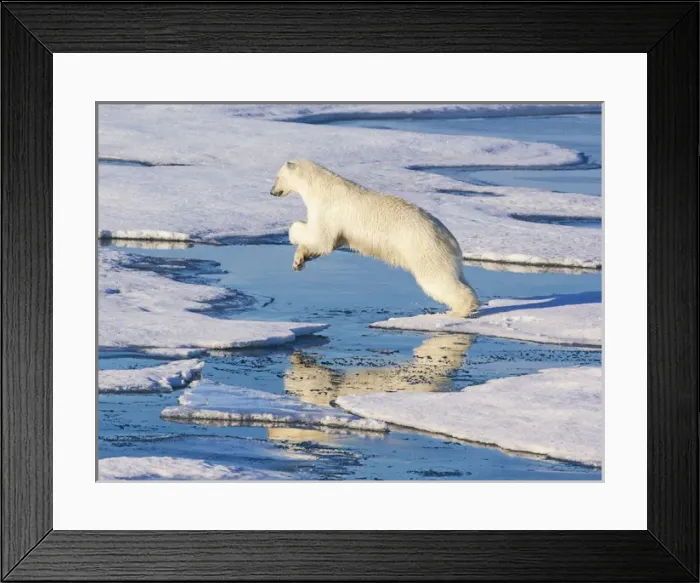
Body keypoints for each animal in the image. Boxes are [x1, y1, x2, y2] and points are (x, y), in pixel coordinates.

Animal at [270, 159, 479, 317]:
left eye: (277, 177)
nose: (272, 192)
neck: (320, 186)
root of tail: (450, 239)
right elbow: (323, 245)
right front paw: (299, 261)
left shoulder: (328, 210)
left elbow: (321, 238)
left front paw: (294, 234)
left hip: (424, 249)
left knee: (437, 279)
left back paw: (460, 310)